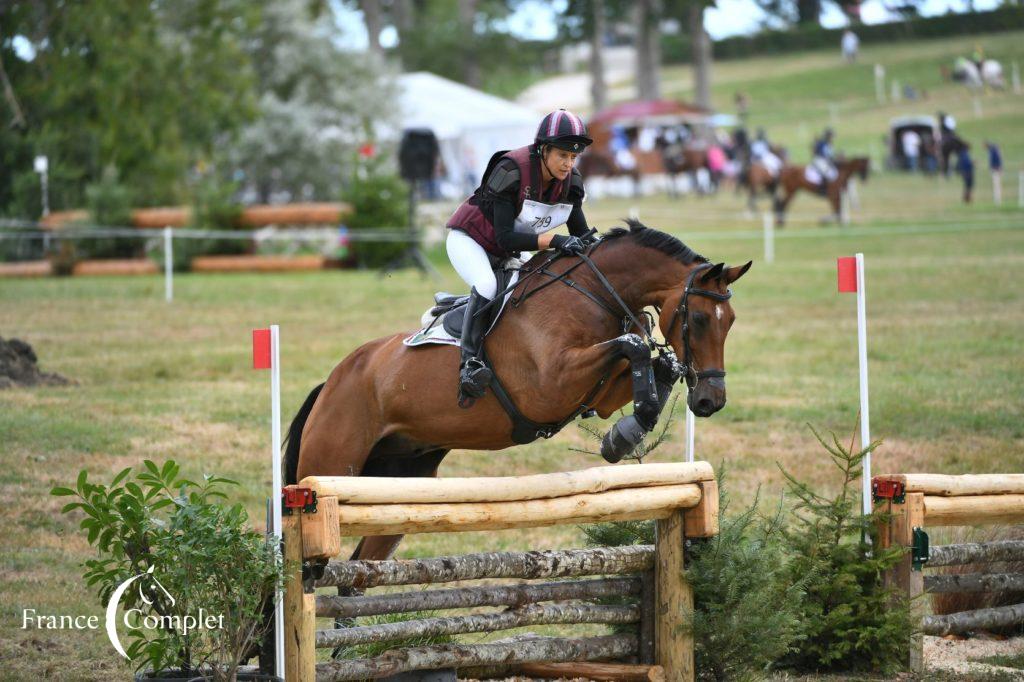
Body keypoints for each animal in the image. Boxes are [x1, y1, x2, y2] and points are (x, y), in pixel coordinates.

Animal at [284, 220, 749, 561]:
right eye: (700, 319)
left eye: (731, 321)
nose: (710, 401)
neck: (593, 293)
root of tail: (333, 381)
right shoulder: (551, 385)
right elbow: (634, 346)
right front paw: (624, 436)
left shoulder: (598, 394)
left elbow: (653, 363)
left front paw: (624, 434)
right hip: (331, 468)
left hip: (401, 485)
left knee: (360, 571)